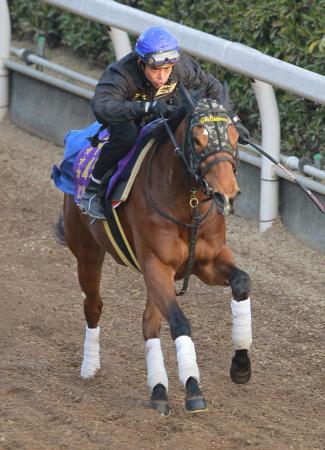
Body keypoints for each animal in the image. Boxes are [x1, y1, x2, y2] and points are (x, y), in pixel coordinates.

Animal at [55, 89, 251, 416]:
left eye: (236, 135)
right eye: (197, 139)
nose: (227, 193)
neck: (188, 205)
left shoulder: (207, 262)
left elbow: (241, 282)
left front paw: (241, 366)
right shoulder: (157, 265)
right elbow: (180, 322)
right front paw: (193, 388)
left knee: (149, 324)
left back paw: (158, 390)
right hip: (87, 251)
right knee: (94, 306)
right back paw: (90, 366)